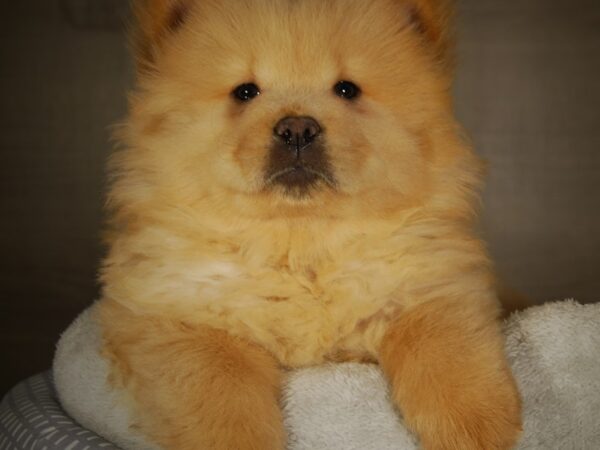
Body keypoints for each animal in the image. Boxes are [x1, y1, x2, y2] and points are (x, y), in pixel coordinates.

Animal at [98, 0, 520, 450]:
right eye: (245, 92)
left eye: (347, 89)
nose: (297, 127)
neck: (298, 244)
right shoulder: (180, 315)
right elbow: (217, 389)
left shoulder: (429, 282)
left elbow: (442, 346)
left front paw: (477, 427)